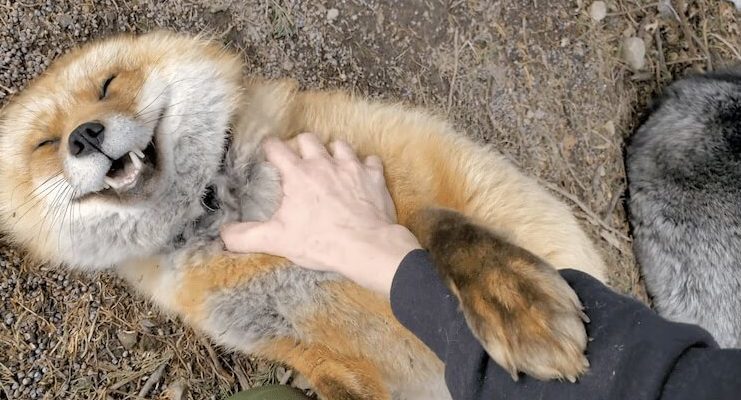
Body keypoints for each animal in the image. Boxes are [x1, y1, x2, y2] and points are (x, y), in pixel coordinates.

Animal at [0, 32, 604, 400]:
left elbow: (438, 224)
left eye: (108, 85)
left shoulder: (395, 175)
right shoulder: (304, 352)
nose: (84, 136)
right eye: (45, 143)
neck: (218, 208)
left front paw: (513, 300)